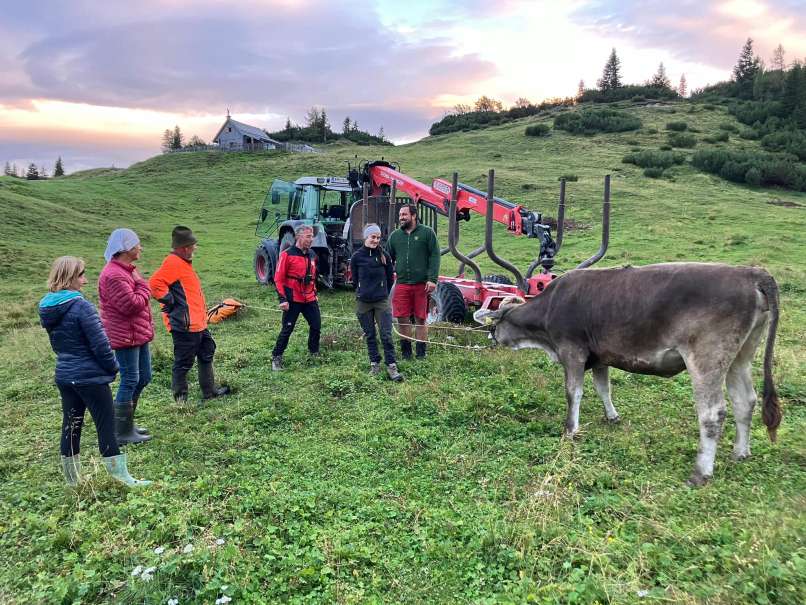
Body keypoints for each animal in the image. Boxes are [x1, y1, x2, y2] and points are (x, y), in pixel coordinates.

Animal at [476, 262, 784, 484]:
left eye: (496, 323)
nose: (492, 337)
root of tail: (750, 272)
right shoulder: (599, 356)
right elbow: (603, 387)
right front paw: (612, 416)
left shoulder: (571, 350)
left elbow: (573, 392)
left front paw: (570, 429)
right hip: (740, 356)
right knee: (745, 400)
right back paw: (740, 452)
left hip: (707, 357)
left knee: (713, 412)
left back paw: (701, 472)